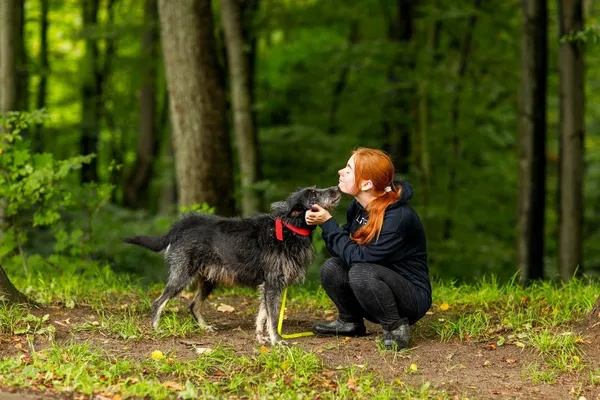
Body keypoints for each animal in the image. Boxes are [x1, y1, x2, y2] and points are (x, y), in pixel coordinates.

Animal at [124, 186, 340, 346]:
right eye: (313, 195)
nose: (336, 188)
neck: (288, 228)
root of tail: (181, 225)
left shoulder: (268, 286)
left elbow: (262, 315)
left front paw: (261, 337)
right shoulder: (273, 284)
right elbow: (272, 316)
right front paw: (277, 340)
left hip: (209, 280)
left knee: (193, 305)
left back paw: (204, 327)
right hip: (182, 276)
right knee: (158, 302)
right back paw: (156, 328)